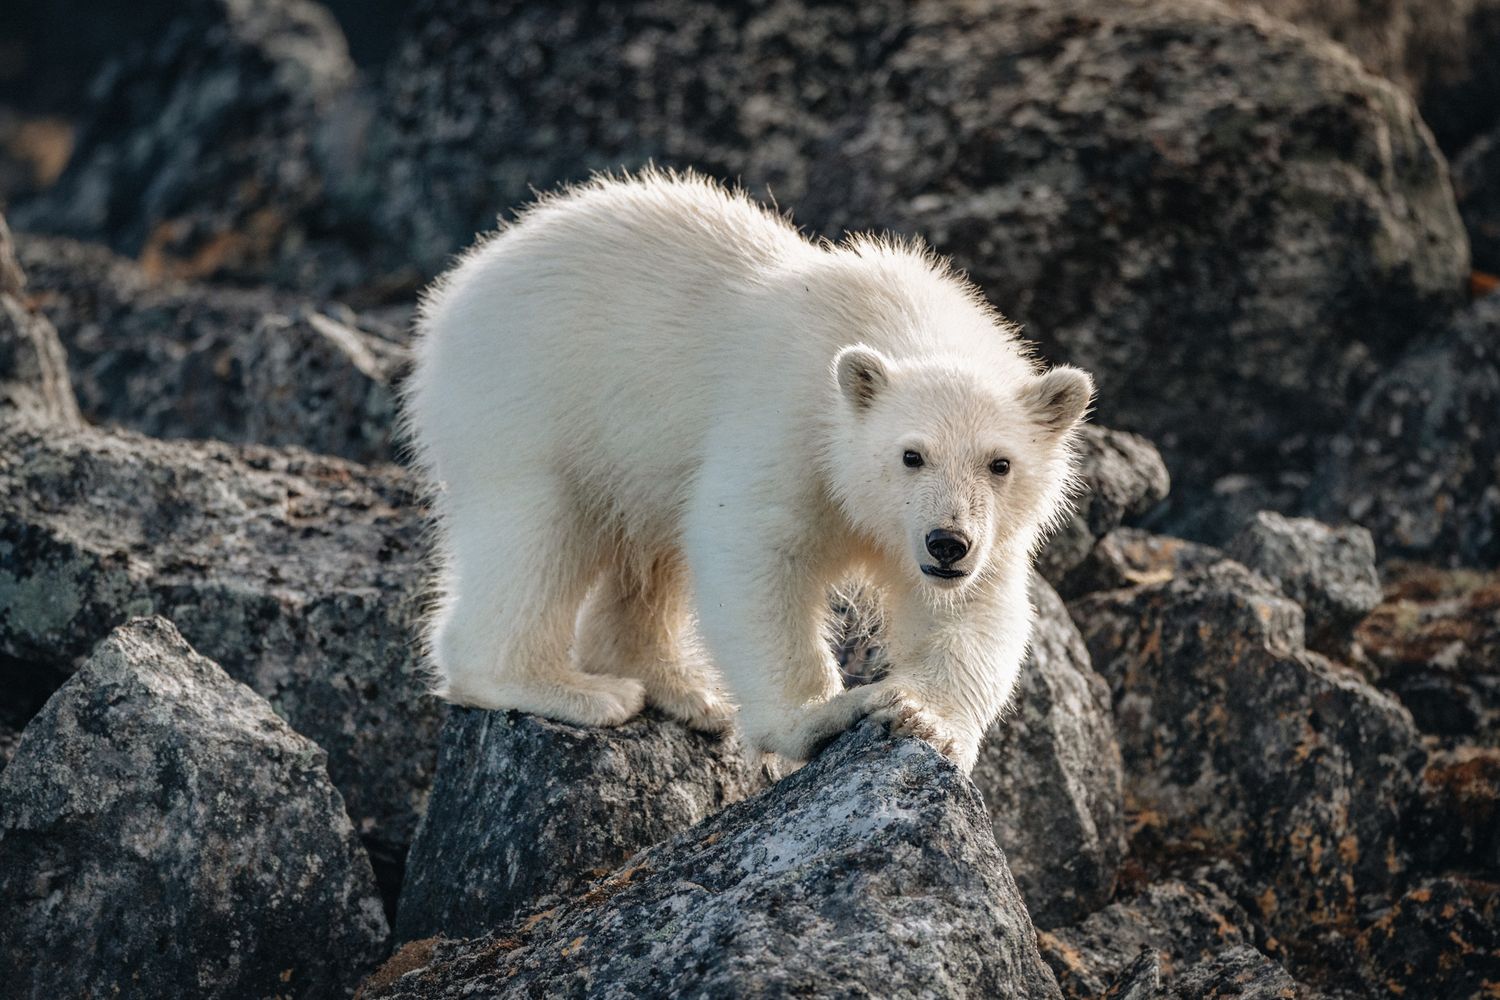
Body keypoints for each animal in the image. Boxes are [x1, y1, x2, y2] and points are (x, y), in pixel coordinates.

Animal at [402, 169, 1092, 772]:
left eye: (1000, 463)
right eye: (910, 454)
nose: (947, 543)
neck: (890, 321)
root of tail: (460, 285)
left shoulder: (988, 533)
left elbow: (973, 608)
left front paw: (928, 720)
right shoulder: (788, 421)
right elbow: (752, 549)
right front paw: (824, 714)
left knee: (649, 556)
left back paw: (687, 691)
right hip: (528, 397)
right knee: (540, 532)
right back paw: (573, 690)